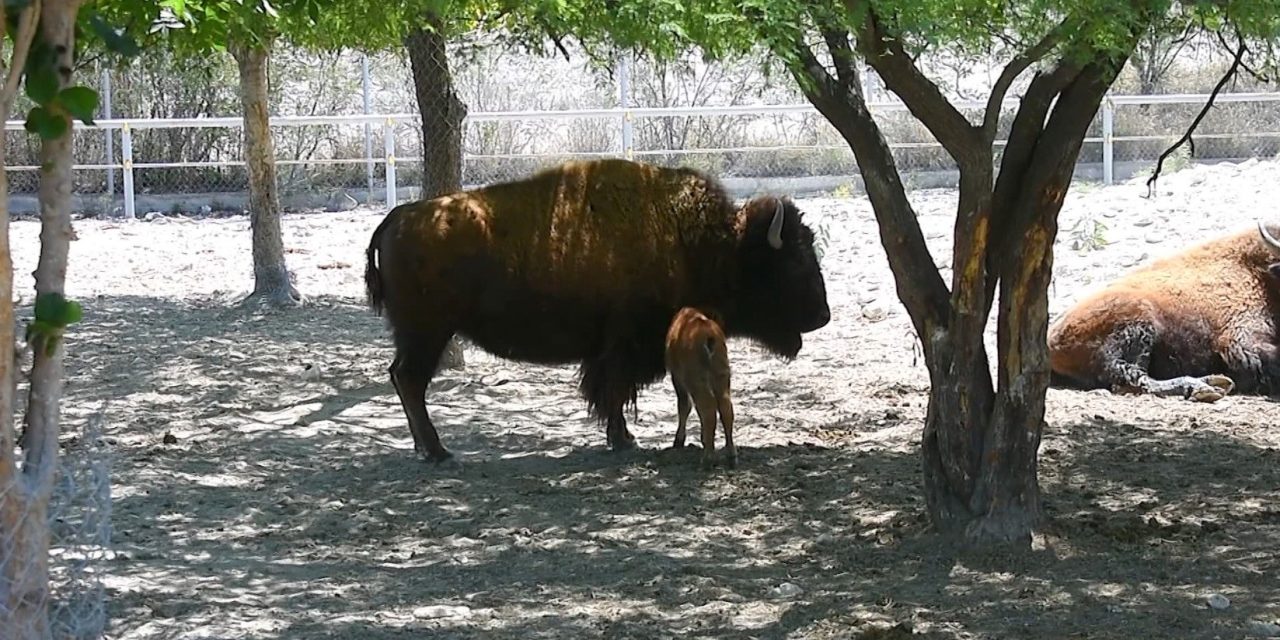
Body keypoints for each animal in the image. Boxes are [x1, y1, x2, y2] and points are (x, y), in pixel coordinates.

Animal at [664, 306, 736, 469]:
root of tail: (709, 336)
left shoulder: (677, 378)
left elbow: (684, 405)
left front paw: (678, 441)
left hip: (696, 379)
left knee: (708, 408)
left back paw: (707, 459)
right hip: (722, 376)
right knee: (725, 407)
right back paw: (731, 456)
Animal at [1047, 221, 1280, 402]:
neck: (1262, 276)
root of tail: (1050, 338)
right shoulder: (1241, 339)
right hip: (1138, 322)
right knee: (1132, 380)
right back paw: (1202, 387)